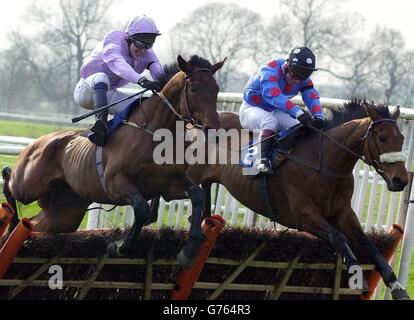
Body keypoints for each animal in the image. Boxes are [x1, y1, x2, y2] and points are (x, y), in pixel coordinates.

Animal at [2, 55, 223, 268]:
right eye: (193, 88)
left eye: (216, 89)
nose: (213, 128)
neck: (154, 134)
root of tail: (38, 141)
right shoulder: (115, 182)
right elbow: (141, 209)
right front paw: (119, 245)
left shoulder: (169, 185)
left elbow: (197, 196)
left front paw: (189, 250)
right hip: (28, 186)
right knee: (8, 176)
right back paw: (11, 218)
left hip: (64, 212)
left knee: (34, 223)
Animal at [187, 100, 410, 300]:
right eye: (382, 138)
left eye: (401, 139)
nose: (401, 180)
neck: (325, 162)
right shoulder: (304, 217)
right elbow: (338, 237)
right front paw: (358, 277)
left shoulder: (344, 213)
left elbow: (367, 243)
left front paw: (396, 285)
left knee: (205, 197)